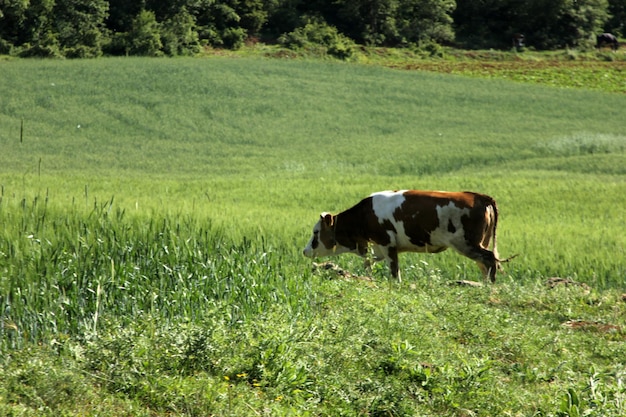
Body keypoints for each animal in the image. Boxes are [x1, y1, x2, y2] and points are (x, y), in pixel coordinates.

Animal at [302, 189, 508, 282]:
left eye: (316, 232)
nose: (305, 251)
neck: (364, 215)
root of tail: (479, 196)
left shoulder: (387, 244)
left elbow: (394, 272)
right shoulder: (377, 247)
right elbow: (369, 263)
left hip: (467, 243)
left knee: (490, 259)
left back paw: (489, 287)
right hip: (480, 242)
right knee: (485, 263)